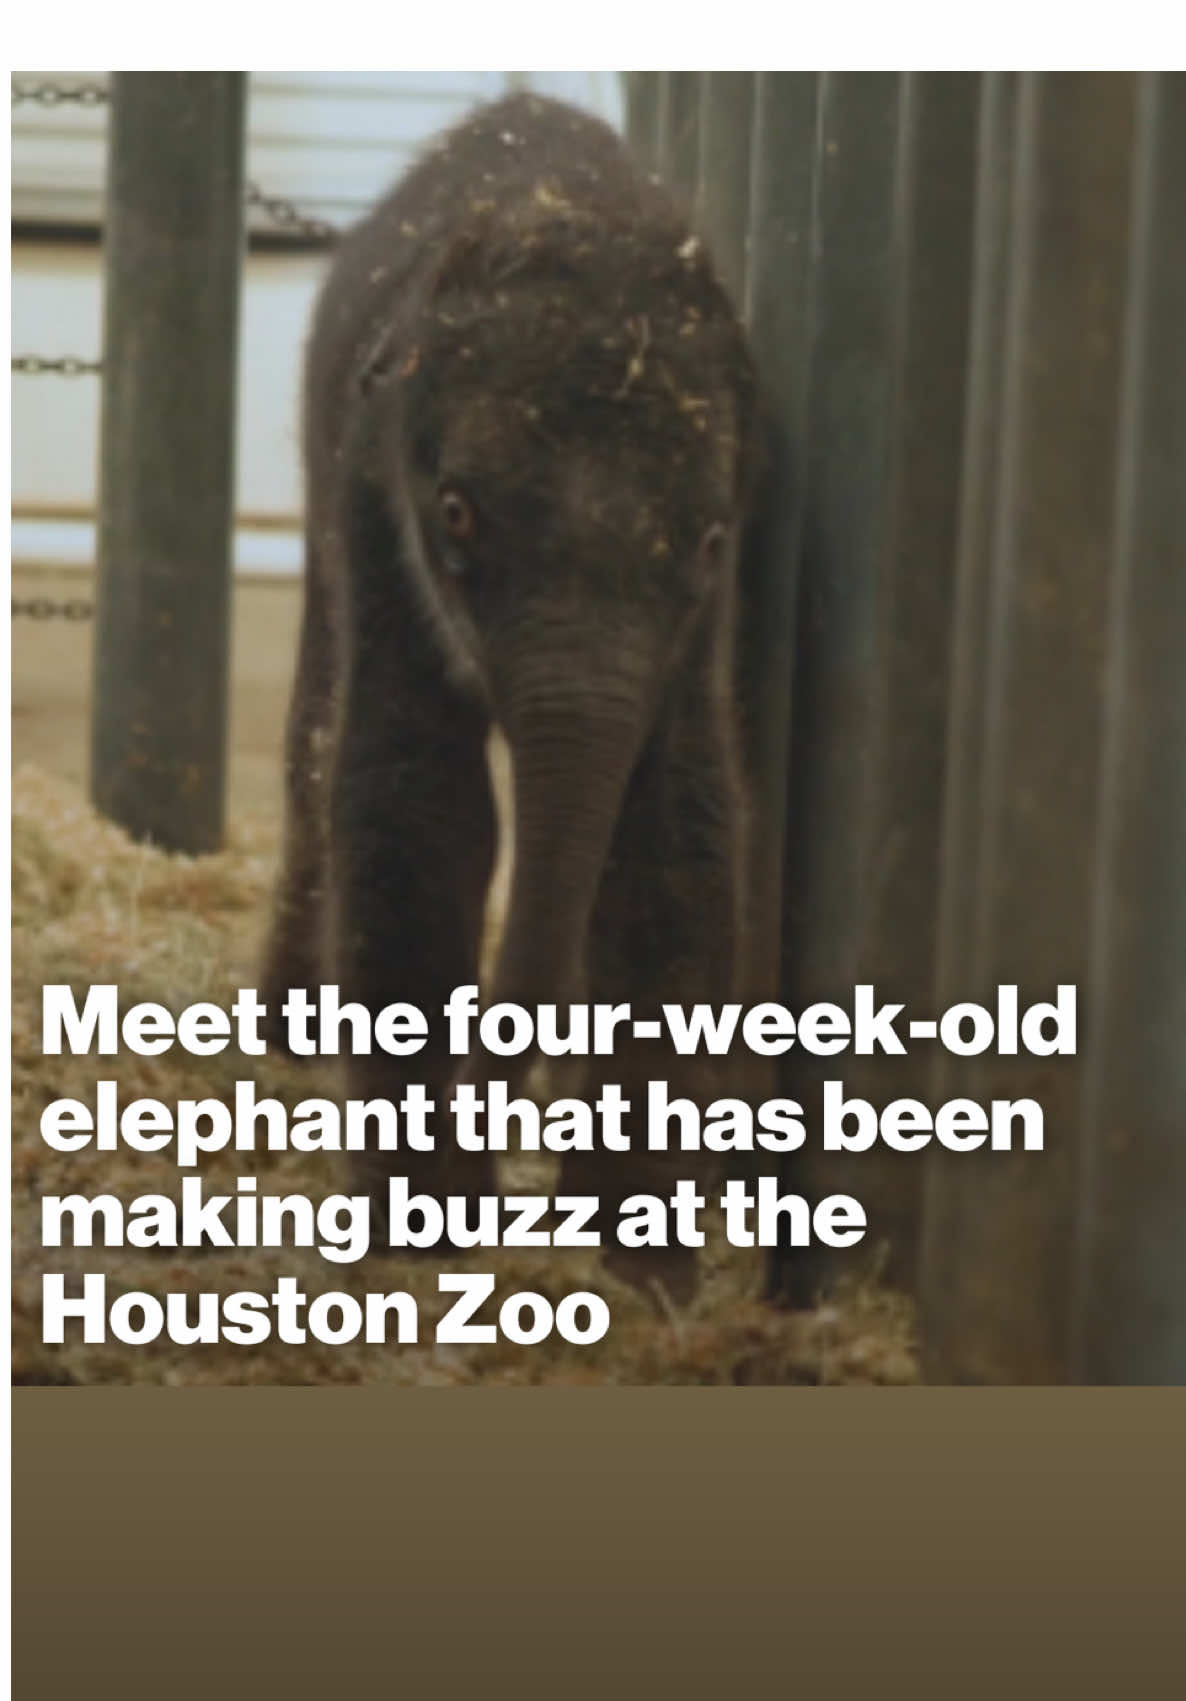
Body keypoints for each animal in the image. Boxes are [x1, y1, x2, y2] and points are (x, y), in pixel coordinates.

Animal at [263, 93, 762, 1285]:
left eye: (710, 539)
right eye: (455, 514)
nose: (486, 1109)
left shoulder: (705, 614)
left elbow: (678, 816)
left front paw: (644, 1270)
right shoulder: (370, 497)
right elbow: (412, 792)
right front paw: (424, 1234)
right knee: (314, 745)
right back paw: (289, 1032)